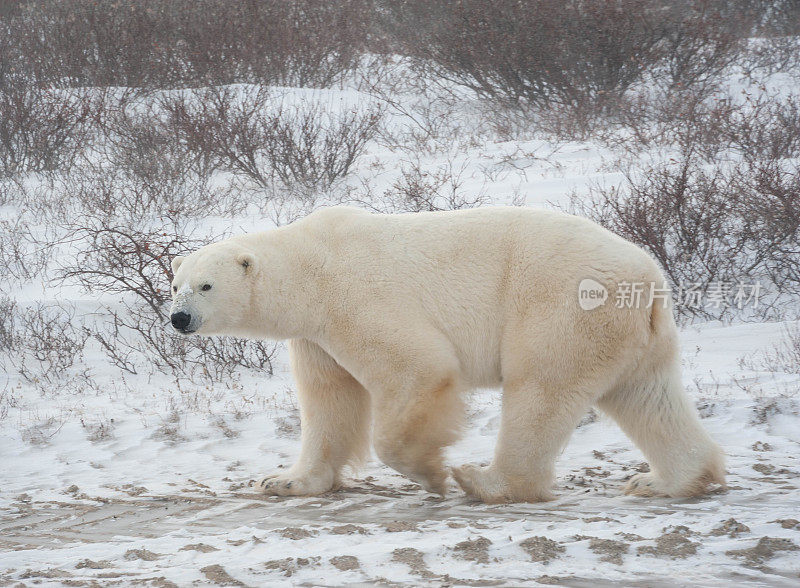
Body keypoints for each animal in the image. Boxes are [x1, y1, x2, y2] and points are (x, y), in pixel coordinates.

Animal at [169, 206, 724, 500]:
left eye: (206, 285)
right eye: (175, 285)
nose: (178, 318)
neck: (311, 265)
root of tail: (649, 279)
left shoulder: (355, 297)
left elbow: (416, 368)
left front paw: (429, 472)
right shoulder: (316, 335)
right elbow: (329, 399)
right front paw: (284, 480)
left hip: (562, 307)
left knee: (540, 389)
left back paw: (486, 481)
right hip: (633, 333)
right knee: (647, 396)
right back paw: (667, 481)